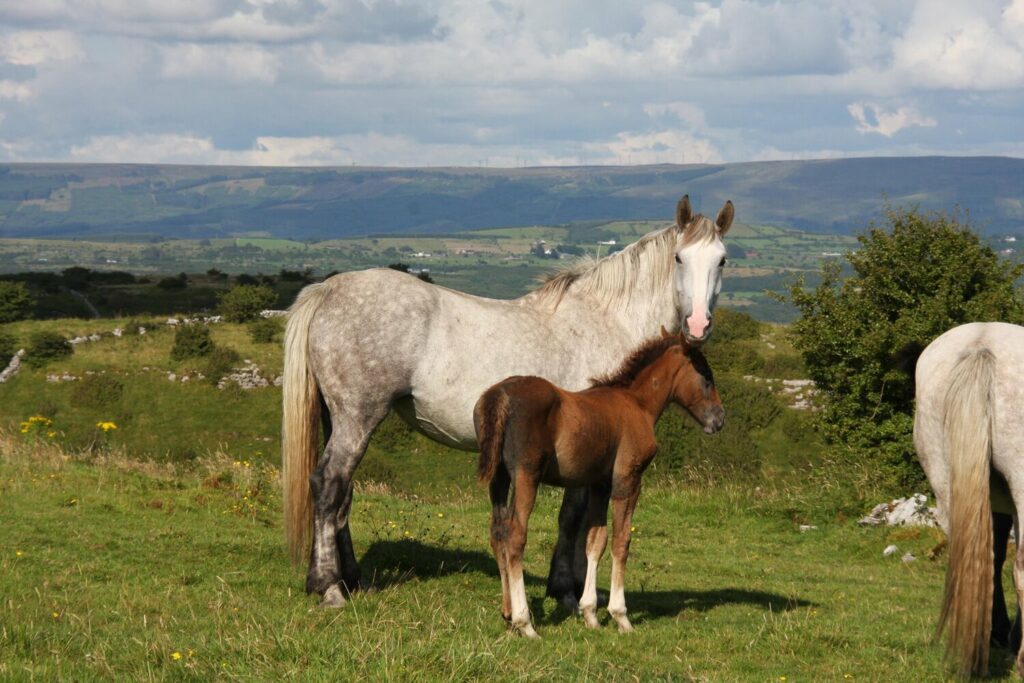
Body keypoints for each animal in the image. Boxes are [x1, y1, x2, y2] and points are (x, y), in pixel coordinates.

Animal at [474, 331, 724, 637]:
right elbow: (621, 541)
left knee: (497, 532)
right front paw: (621, 616)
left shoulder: (599, 485)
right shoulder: (628, 480)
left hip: (499, 476)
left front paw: (590, 613)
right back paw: (526, 623)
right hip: (526, 475)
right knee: (515, 535)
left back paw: (509, 615)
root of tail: (500, 395)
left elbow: (595, 541)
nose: (719, 419)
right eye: (707, 377)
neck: (637, 404)